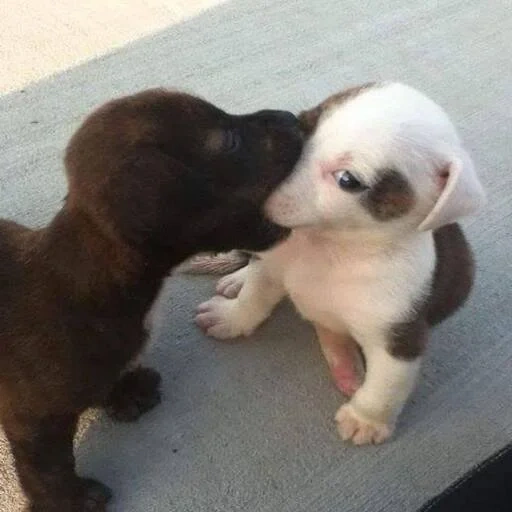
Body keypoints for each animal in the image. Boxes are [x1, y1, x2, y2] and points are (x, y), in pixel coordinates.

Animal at [0, 89, 304, 512]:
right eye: (228, 141)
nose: (291, 117)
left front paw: (126, 392)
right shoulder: (32, 415)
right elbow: (47, 464)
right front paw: (67, 498)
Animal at [194, 83, 486, 444]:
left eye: (348, 180)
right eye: (303, 126)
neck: (329, 245)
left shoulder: (397, 338)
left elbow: (386, 384)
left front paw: (366, 419)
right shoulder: (273, 266)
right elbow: (255, 296)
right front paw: (232, 316)